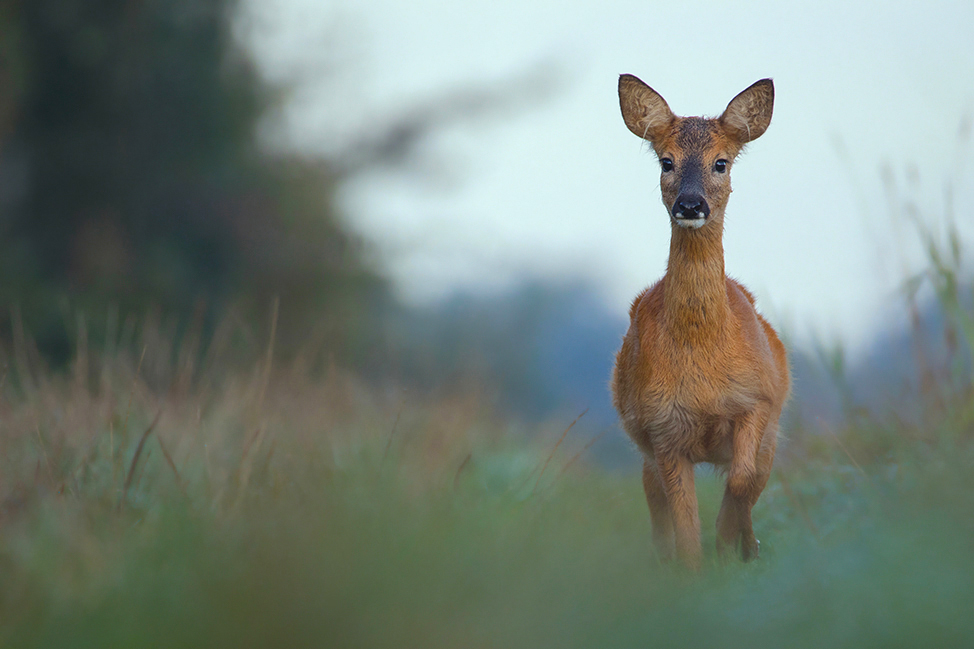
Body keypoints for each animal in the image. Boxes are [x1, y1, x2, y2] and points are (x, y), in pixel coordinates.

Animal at [616, 76, 792, 568]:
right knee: (657, 513)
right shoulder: (663, 430)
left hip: (773, 430)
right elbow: (685, 529)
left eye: (721, 163)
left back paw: (747, 546)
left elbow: (742, 482)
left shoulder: (757, 401)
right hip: (645, 448)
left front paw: (731, 542)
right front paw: (700, 569)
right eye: (666, 161)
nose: (690, 204)